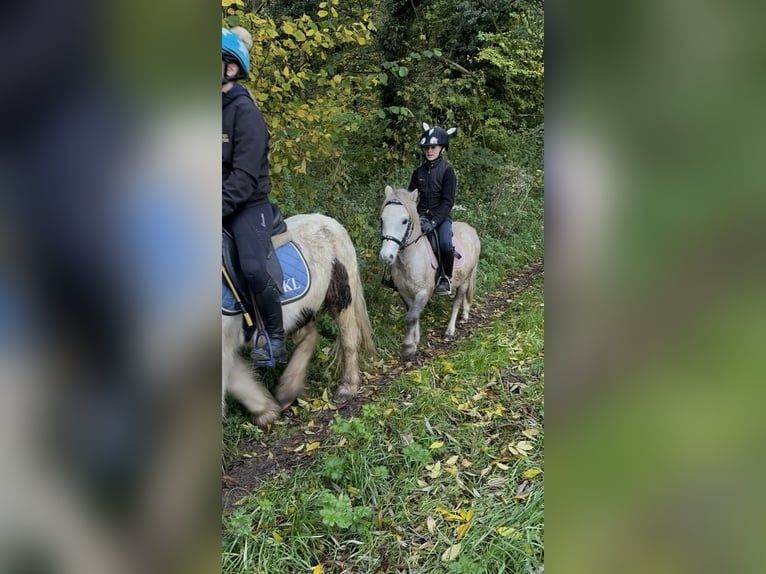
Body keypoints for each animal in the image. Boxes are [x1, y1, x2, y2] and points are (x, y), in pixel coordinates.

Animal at [222, 215, 376, 428]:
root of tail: (330, 222)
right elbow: (237, 380)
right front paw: (266, 411)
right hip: (299, 313)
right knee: (310, 336)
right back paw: (288, 390)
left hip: (341, 298)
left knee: (349, 339)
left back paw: (348, 387)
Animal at [378, 187, 480, 362]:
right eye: (382, 219)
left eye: (404, 221)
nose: (386, 256)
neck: (411, 257)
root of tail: (471, 230)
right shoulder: (405, 292)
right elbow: (413, 314)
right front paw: (414, 342)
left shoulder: (424, 292)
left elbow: (411, 317)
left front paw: (408, 348)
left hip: (464, 280)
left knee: (458, 301)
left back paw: (449, 331)